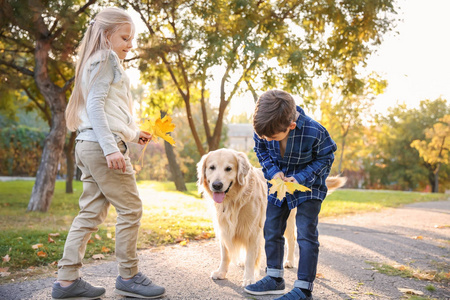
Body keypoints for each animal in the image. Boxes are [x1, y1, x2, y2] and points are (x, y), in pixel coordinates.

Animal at [195, 148, 346, 286]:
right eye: (212, 167)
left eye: (228, 169)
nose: (217, 185)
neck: (234, 200)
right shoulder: (223, 228)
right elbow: (225, 254)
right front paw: (221, 272)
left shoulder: (253, 231)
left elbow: (251, 257)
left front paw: (249, 278)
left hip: (287, 220)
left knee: (291, 240)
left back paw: (289, 261)